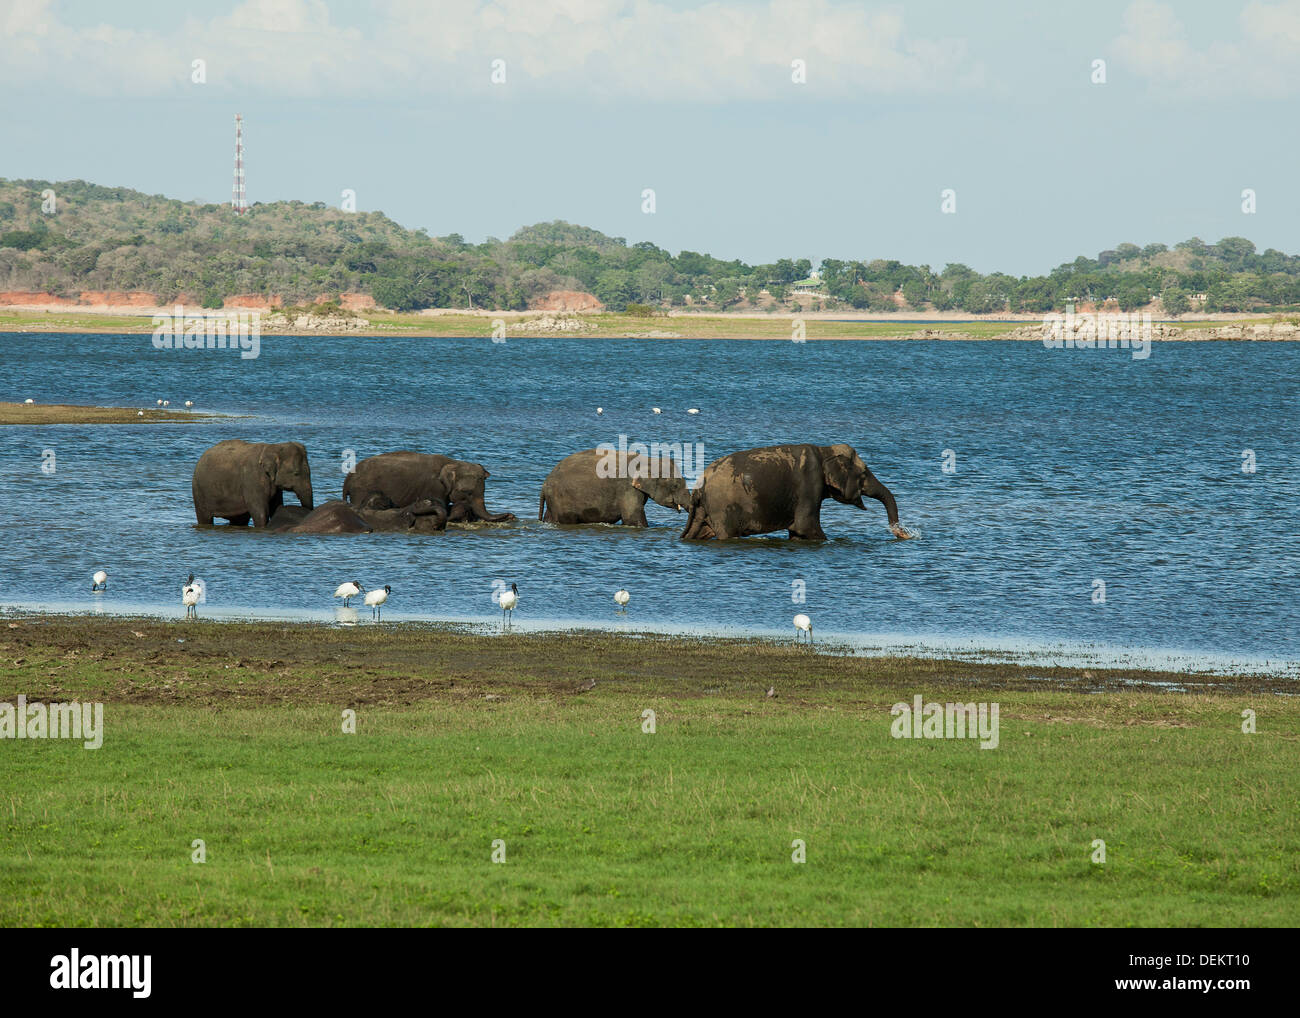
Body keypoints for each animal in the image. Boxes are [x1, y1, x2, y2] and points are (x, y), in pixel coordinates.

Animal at [343, 449, 514, 522]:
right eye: (468, 492)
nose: (511, 515)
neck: (453, 463)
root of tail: (348, 479)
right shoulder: (435, 487)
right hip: (360, 490)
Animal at [538, 447, 696, 525]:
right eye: (675, 485)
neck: (649, 459)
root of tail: (544, 484)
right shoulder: (627, 489)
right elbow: (632, 518)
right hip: (560, 500)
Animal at [676, 444, 909, 540]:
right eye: (864, 473)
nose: (903, 533)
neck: (825, 450)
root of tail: (701, 483)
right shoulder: (809, 484)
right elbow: (805, 527)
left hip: (703, 509)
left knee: (697, 533)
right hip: (722, 508)